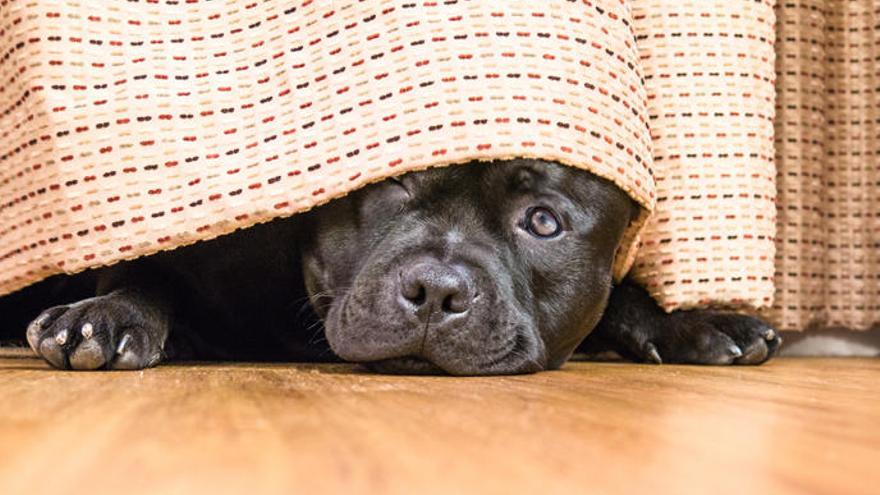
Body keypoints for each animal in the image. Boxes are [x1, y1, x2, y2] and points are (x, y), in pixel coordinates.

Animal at [18, 160, 776, 376]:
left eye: (543, 222)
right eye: (393, 184)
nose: (436, 289)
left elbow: (619, 295)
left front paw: (697, 320)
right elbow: (144, 274)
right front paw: (106, 315)